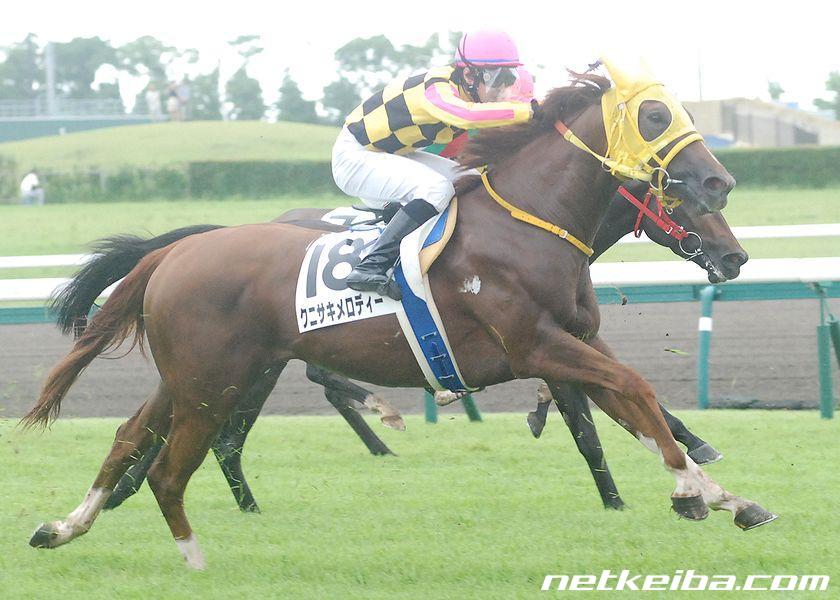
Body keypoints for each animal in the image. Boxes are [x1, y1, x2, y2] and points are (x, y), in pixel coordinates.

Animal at [23, 72, 775, 569]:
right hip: (215, 382)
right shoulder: (538, 346)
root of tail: (176, 251)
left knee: (129, 439)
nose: (721, 189)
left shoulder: (577, 341)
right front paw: (691, 490)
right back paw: (197, 561)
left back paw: (63, 527)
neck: (530, 222)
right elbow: (633, 400)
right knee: (171, 467)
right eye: (653, 117)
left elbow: (636, 412)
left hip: (193, 377)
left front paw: (722, 497)